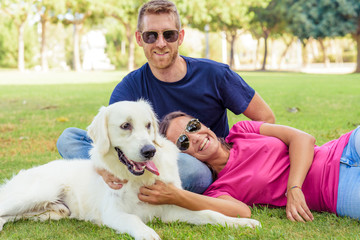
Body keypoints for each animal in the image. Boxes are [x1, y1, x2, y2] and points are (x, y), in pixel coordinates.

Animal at [0, 100, 260, 240]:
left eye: (148, 126)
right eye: (126, 126)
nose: (149, 151)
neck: (138, 180)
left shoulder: (170, 209)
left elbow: (209, 213)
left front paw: (241, 223)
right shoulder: (114, 213)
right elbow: (135, 220)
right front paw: (148, 233)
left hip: (52, 210)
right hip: (38, 192)